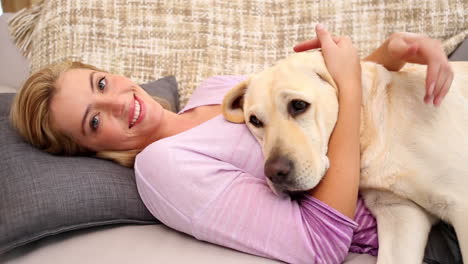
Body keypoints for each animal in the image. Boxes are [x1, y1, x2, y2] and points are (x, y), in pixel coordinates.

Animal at [220, 50, 468, 262]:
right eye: (255, 121)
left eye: (298, 105)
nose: (275, 173)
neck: (377, 126)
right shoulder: (399, 212)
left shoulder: (461, 207)